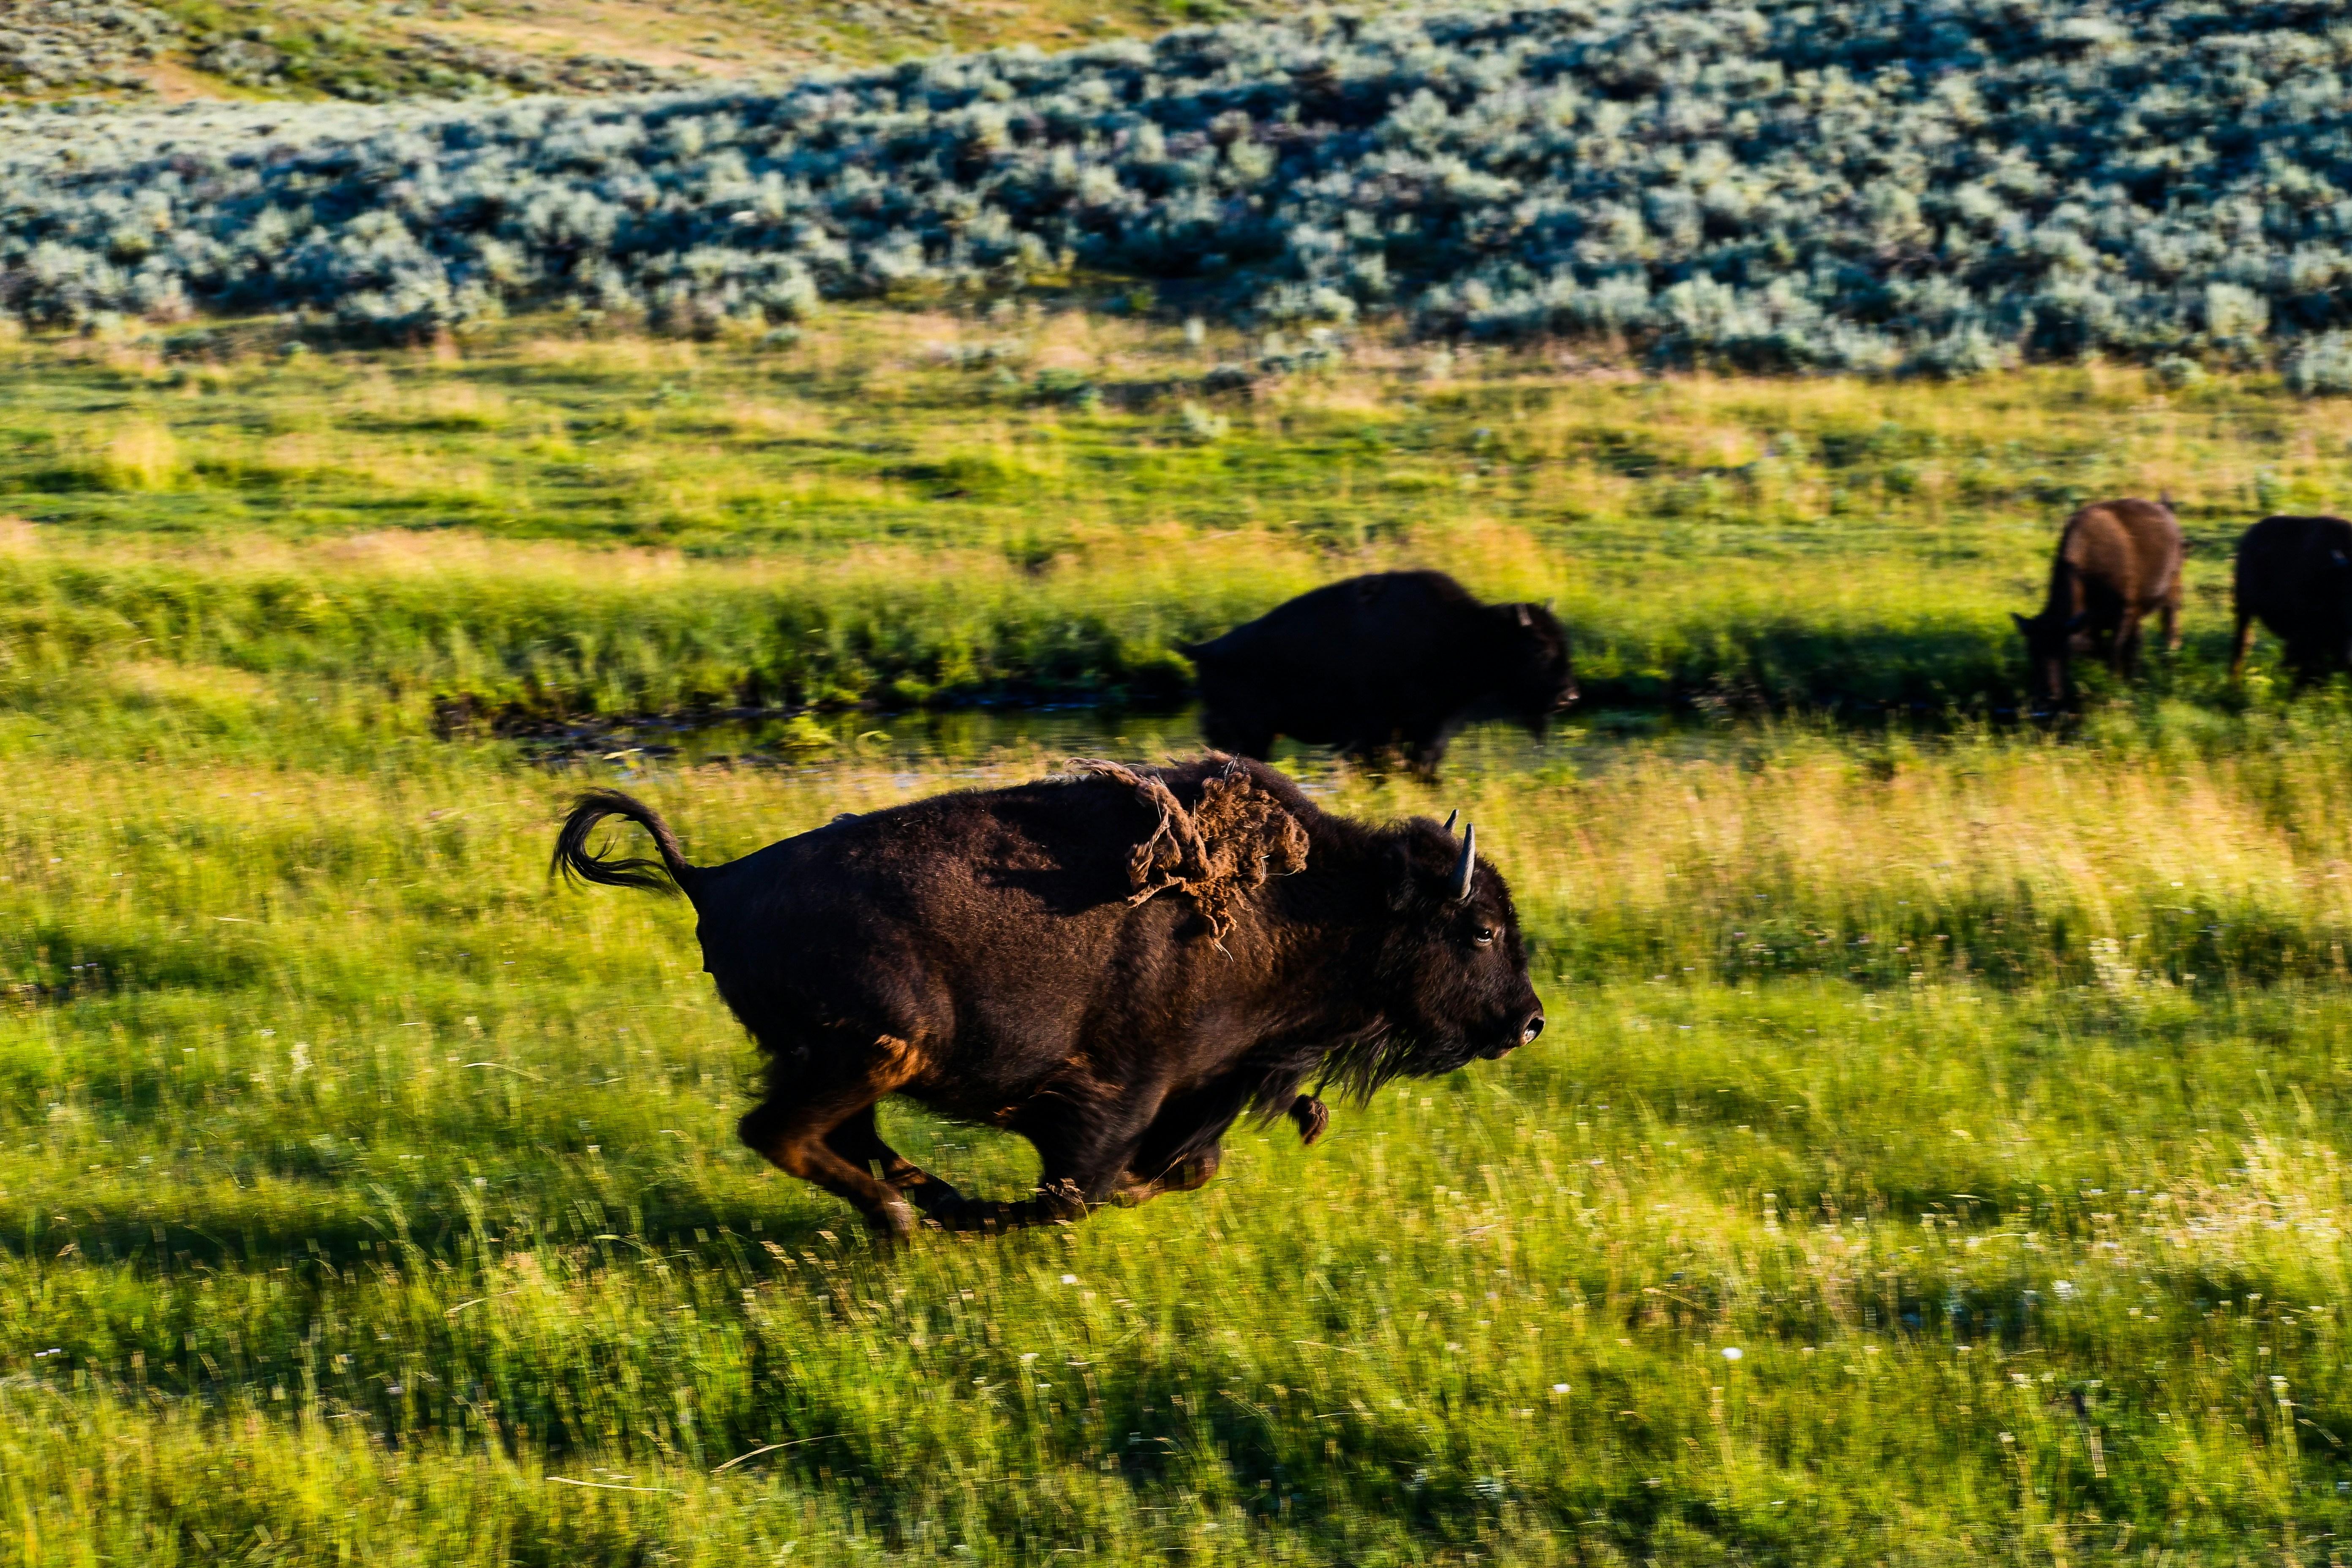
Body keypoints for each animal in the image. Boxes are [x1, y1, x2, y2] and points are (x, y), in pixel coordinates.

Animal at [552, 756, 1543, 1240]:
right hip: (879, 1048)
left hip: (842, 1061)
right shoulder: (1123, 1091)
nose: (1529, 1021)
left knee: (839, 1138)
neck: (1316, 904)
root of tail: (712, 878)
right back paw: (915, 1220)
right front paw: (1005, 1218)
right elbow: (1078, 1189)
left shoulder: (1208, 1084)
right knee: (783, 1132)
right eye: (1481, 929)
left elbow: (1183, 1166)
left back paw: (931, 1203)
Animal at [1182, 571, 1575, 774]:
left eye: (1565, 644)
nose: (1569, 696)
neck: (1466, 633)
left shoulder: (1430, 732)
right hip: (1251, 734)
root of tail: (1203, 651)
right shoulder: (1375, 733)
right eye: (1538, 648)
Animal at [2010, 497, 2186, 709]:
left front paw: (2116, 686)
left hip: (2172, 589)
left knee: (2170, 624)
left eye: (2063, 652)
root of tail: (2165, 511)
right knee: (2138, 640)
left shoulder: (2122, 617)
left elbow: (2114, 652)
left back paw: (2170, 656)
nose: (2047, 696)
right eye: (2031, 651)